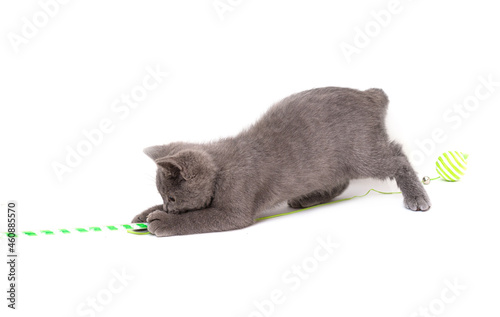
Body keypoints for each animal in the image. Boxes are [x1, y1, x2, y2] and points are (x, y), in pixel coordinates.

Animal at [132, 87, 430, 236]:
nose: (167, 208)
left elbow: (198, 217)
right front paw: (144, 214)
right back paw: (308, 198)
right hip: (329, 164)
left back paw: (416, 196)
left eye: (172, 198)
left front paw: (162, 221)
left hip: (360, 153)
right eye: (164, 196)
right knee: (341, 182)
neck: (221, 171)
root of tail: (370, 94)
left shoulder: (236, 203)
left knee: (397, 157)